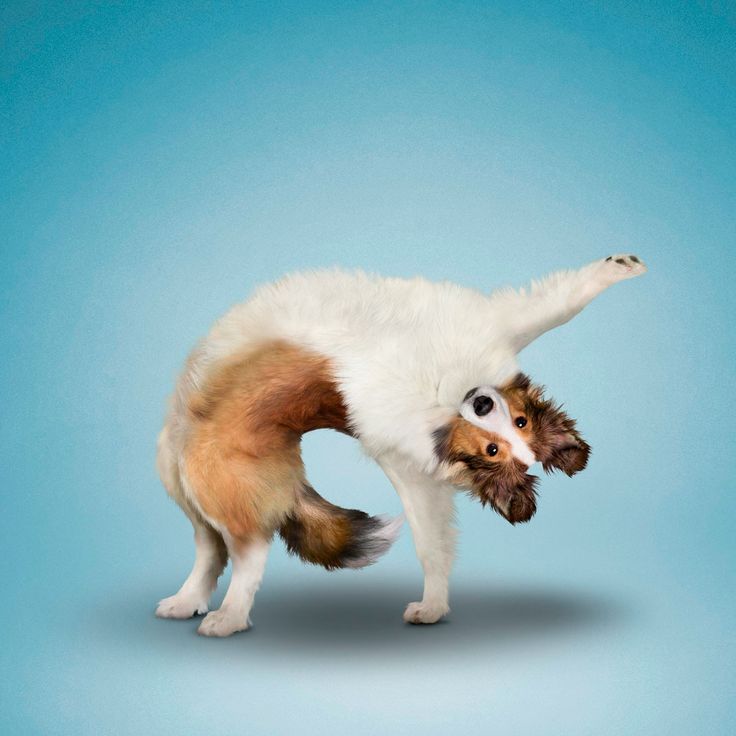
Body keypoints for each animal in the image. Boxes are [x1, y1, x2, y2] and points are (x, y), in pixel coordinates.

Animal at [154, 252, 644, 632]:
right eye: (515, 424)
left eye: (497, 450)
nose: (481, 400)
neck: (446, 403)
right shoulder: (489, 325)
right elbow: (556, 305)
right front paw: (621, 267)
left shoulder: (412, 470)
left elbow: (432, 546)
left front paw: (433, 606)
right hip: (179, 468)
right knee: (209, 546)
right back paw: (186, 601)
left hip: (218, 486)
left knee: (244, 555)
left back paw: (229, 617)